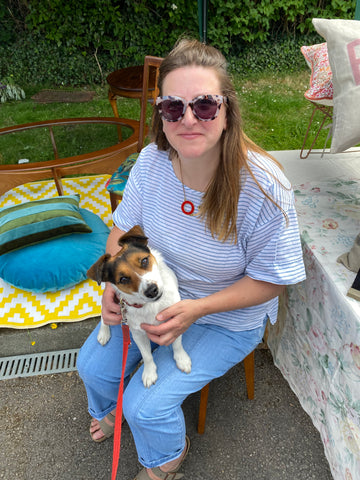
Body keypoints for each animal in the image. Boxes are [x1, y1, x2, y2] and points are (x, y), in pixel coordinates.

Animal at [87, 224, 191, 386]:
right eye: (123, 279)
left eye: (144, 261)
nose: (152, 290)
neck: (151, 305)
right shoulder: (137, 333)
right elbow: (147, 355)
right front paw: (149, 372)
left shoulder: (175, 320)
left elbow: (177, 342)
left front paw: (182, 359)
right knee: (104, 314)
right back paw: (103, 333)